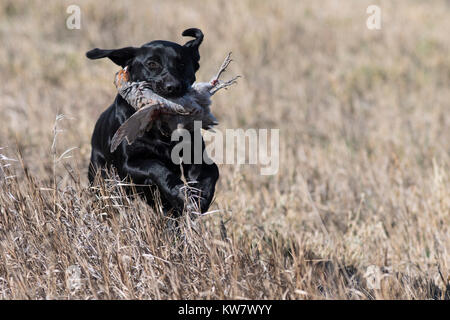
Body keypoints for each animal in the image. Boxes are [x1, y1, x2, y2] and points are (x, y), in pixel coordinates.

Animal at [86, 28, 220, 216]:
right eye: (151, 64)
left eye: (182, 64)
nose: (173, 87)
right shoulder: (129, 164)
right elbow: (157, 167)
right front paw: (178, 193)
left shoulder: (196, 156)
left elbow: (212, 171)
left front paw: (200, 197)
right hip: (103, 178)